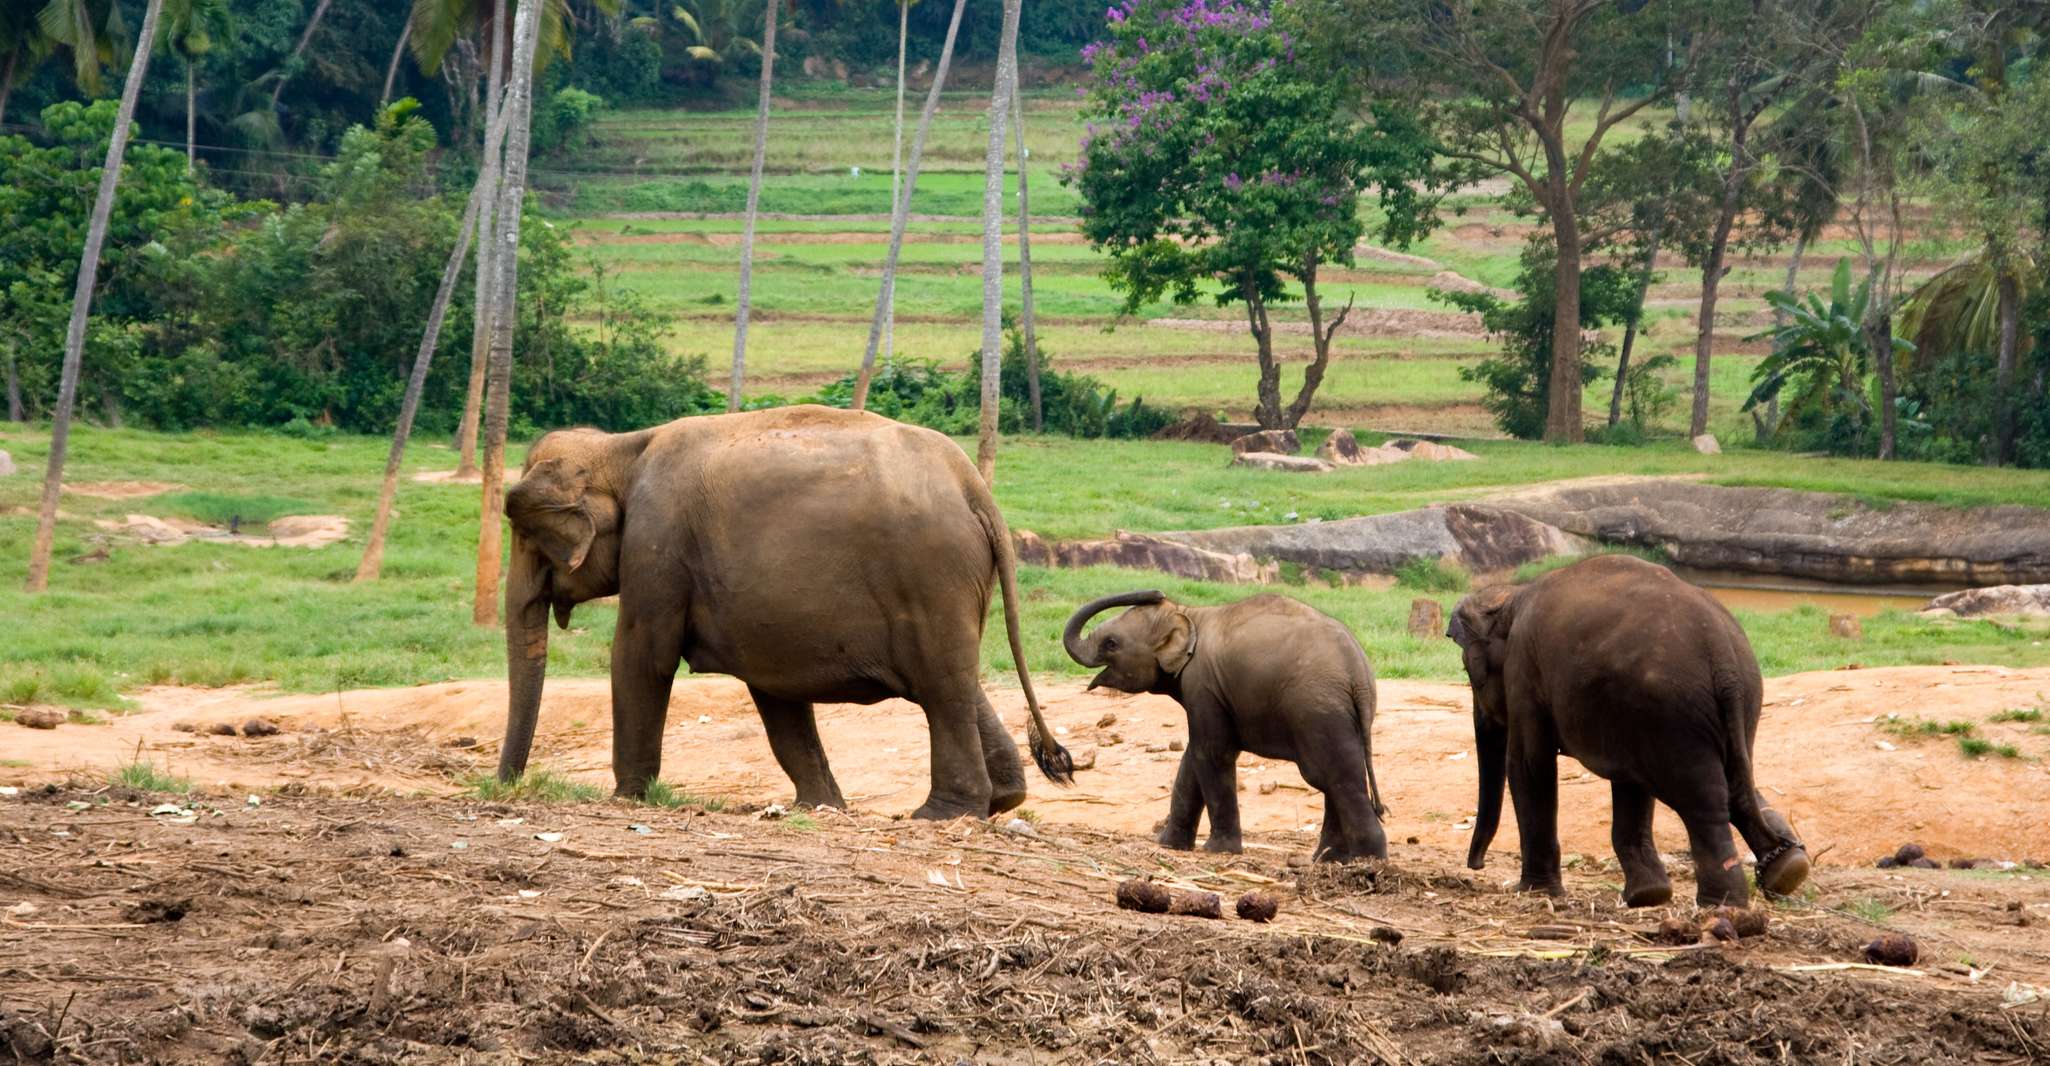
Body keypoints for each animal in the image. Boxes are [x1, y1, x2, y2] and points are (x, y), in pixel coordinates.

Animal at [495, 405, 1072, 818]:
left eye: (525, 535)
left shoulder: (656, 547)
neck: (620, 448)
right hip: (948, 587)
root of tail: (974, 488)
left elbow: (642, 658)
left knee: (942, 687)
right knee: (956, 679)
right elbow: (773, 689)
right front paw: (821, 807)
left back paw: (941, 815)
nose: (505, 785)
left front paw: (627, 800)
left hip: (930, 574)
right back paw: (1001, 800)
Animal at [1061, 590, 1387, 862]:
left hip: (1316, 711)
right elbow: (1193, 758)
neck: (1189, 614)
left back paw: (1366, 861)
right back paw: (1329, 860)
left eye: (1111, 644)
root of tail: (1357, 674)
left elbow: (1211, 753)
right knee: (1337, 777)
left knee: (1334, 777)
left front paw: (1218, 850)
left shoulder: (1203, 686)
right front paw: (1168, 845)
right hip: (1342, 717)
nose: (1156, 592)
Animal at [1447, 554, 1810, 907]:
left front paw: (1536, 892)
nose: (1476, 865)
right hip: (1723, 705)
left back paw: (1721, 904)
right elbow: (1628, 784)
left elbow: (1529, 766)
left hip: (1672, 712)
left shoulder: (1523, 669)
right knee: (1736, 780)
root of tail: (1723, 658)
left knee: (1704, 800)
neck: (1512, 595)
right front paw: (1648, 896)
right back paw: (1788, 869)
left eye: (1468, 673)